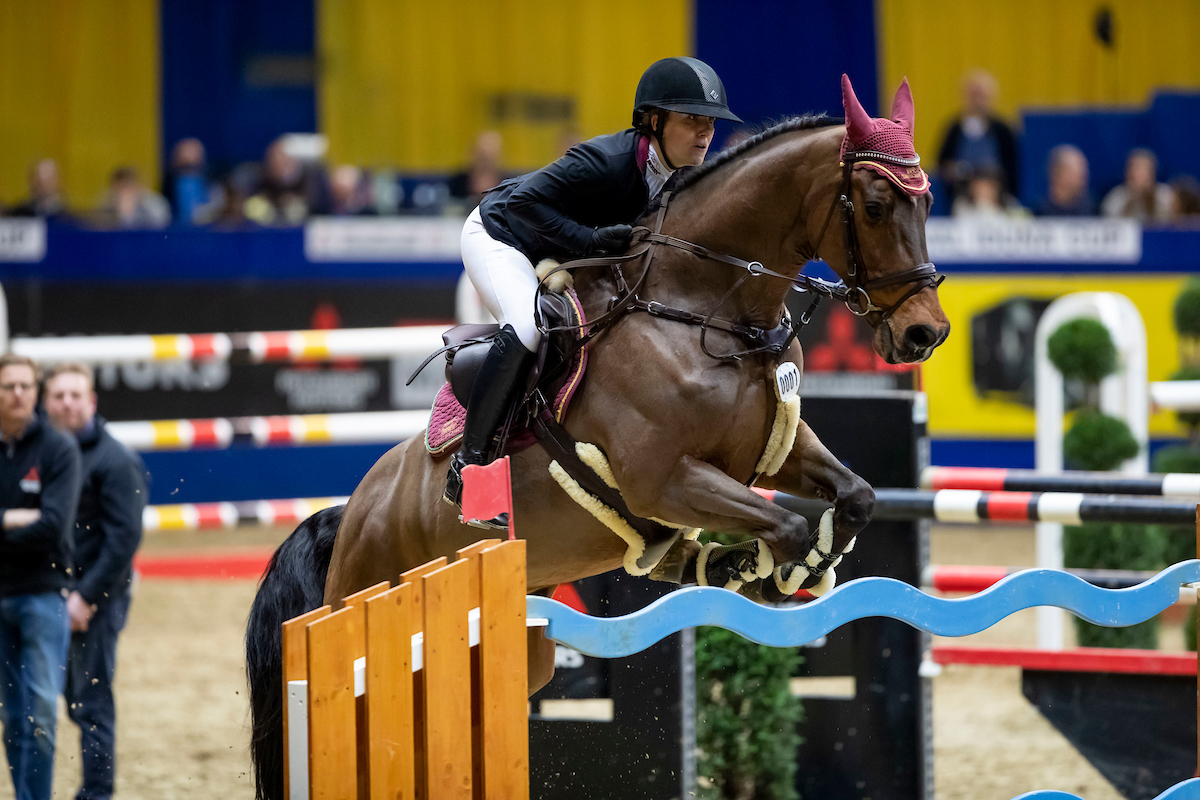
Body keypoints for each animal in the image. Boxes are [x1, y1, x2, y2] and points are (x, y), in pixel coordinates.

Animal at [248, 76, 950, 800]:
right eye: (875, 206)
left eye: (928, 201)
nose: (925, 334)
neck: (707, 309)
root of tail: (351, 512)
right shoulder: (663, 479)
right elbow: (781, 525)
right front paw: (776, 574)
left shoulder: (772, 452)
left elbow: (856, 495)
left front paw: (798, 561)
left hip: (519, 646)